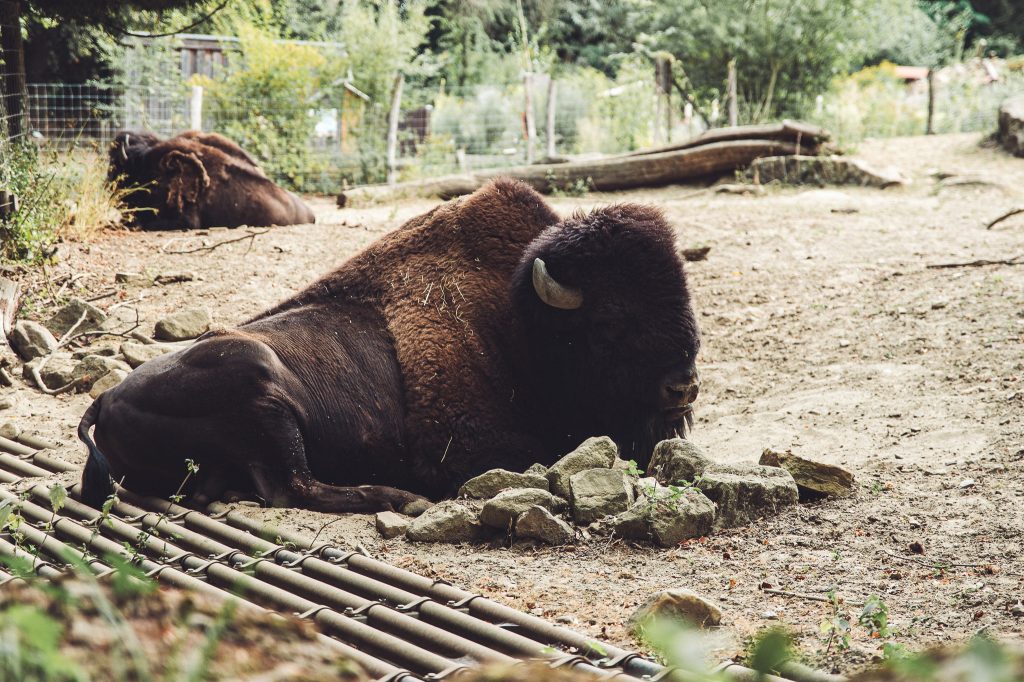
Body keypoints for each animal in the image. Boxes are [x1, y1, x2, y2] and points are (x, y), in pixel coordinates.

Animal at [79, 179, 700, 513]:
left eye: (683, 297)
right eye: (610, 324)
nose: (684, 387)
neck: (518, 323)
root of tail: (103, 401)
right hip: (261, 385)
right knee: (295, 486)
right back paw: (402, 498)